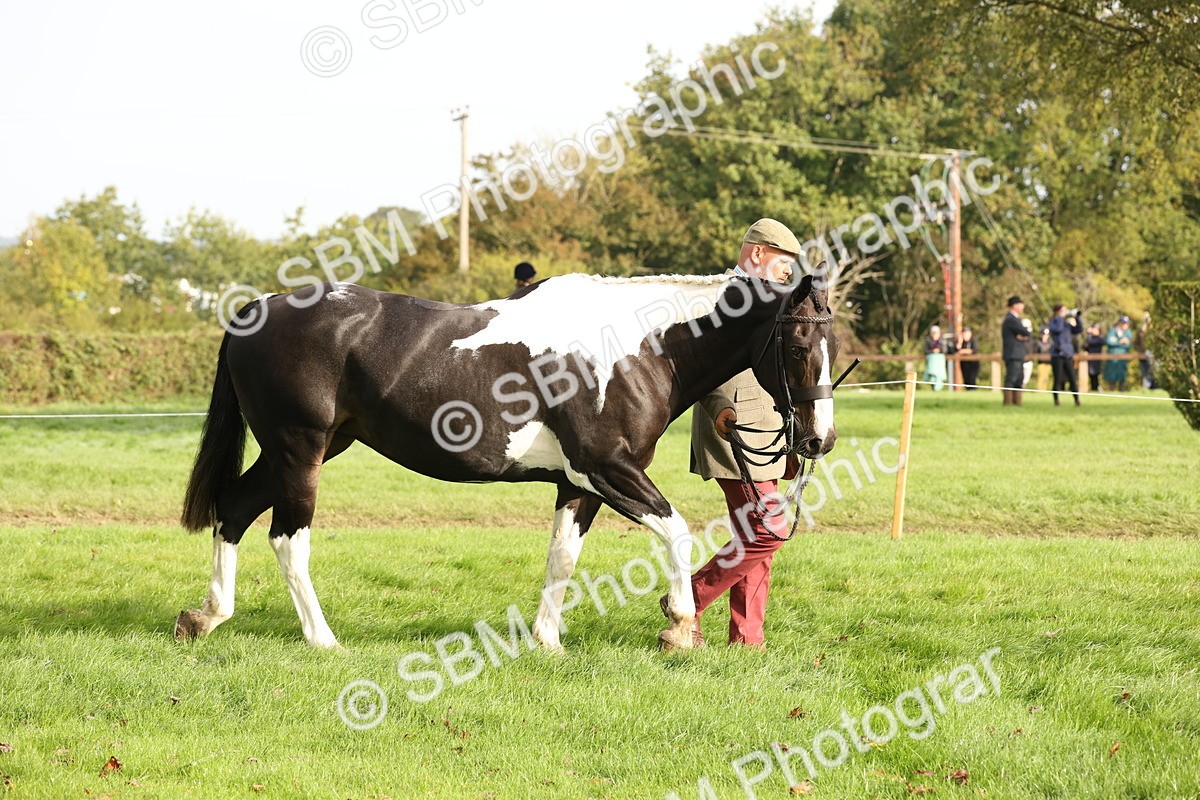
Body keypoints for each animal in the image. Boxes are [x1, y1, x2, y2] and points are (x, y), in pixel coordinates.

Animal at [175, 271, 840, 650]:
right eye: (798, 344)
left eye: (833, 341)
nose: (820, 440)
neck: (635, 346)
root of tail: (257, 310)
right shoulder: (609, 468)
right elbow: (676, 530)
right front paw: (677, 626)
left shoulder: (579, 483)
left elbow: (562, 556)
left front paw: (546, 641)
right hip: (300, 452)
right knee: (287, 539)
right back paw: (321, 639)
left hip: (297, 452)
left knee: (233, 509)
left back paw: (205, 618)